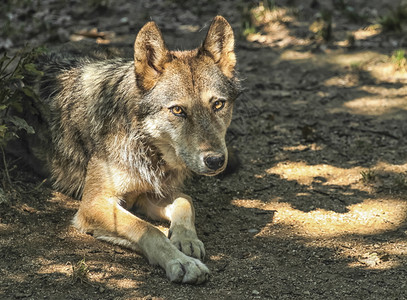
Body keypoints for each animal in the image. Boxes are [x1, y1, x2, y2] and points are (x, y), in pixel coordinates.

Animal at [34, 15, 242, 284]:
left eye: (218, 104)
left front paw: (186, 240)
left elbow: (185, 200)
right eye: (178, 110)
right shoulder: (93, 204)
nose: (216, 160)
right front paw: (181, 262)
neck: (143, 144)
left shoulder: (143, 195)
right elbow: (148, 229)